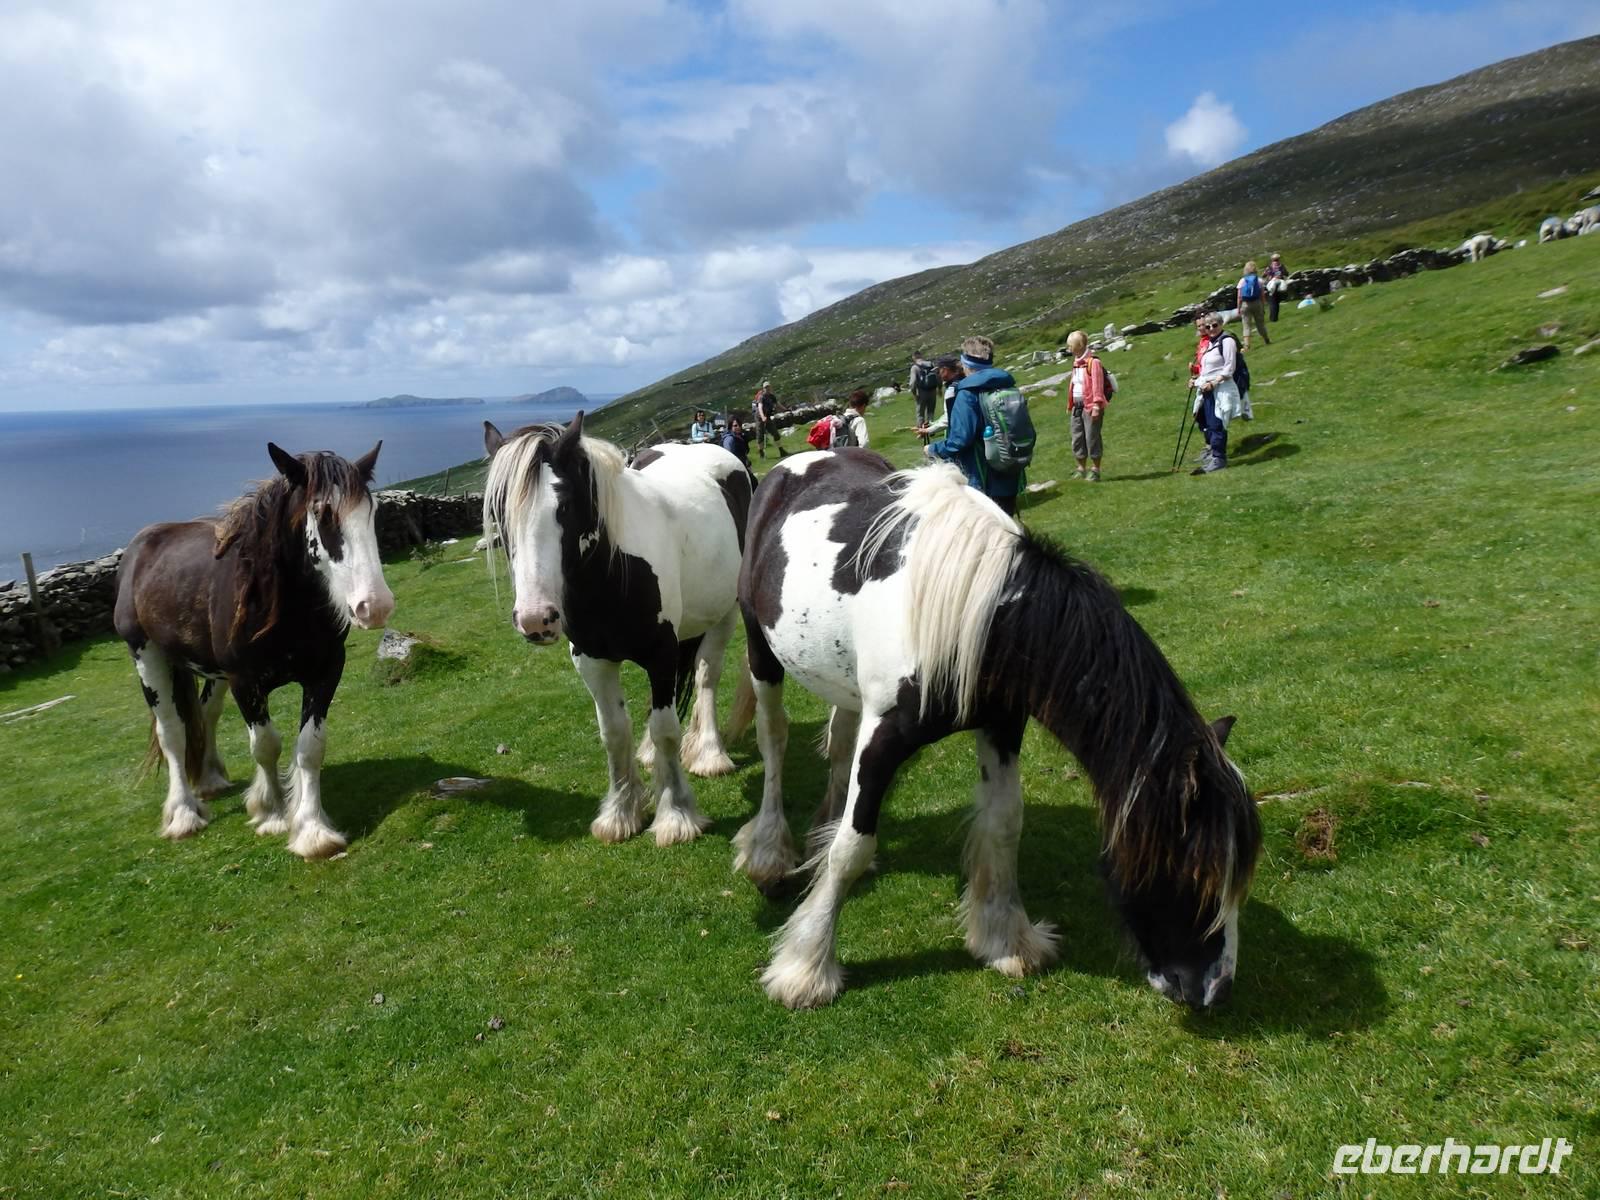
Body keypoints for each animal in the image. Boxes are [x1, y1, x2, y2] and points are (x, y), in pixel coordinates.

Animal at [113, 442, 394, 859]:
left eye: (371, 511)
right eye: (321, 513)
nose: (374, 607)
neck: (279, 603)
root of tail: (140, 546)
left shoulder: (326, 671)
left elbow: (310, 747)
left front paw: (312, 830)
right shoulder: (245, 682)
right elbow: (265, 746)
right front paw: (272, 812)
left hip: (210, 671)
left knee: (205, 713)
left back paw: (210, 778)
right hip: (147, 657)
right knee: (172, 732)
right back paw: (183, 813)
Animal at [481, 412, 753, 846]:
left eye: (565, 505)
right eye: (499, 515)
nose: (536, 619)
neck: (613, 571)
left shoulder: (661, 654)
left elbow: (666, 730)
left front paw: (676, 815)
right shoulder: (591, 660)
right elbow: (613, 732)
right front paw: (621, 813)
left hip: (723, 615)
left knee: (706, 676)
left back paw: (710, 753)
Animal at [727, 451, 1261, 1010]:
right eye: (1193, 872)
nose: (1216, 990)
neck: (983, 611)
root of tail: (795, 462)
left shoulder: (1001, 726)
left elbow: (1004, 825)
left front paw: (1008, 940)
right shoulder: (885, 738)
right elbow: (853, 848)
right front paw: (807, 967)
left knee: (837, 745)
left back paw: (818, 835)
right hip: (761, 650)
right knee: (774, 740)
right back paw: (770, 853)